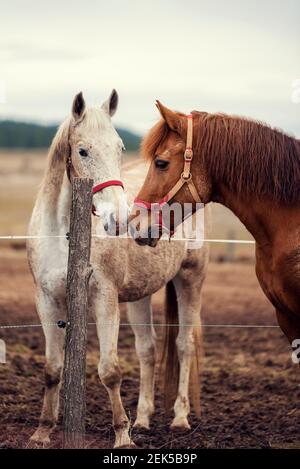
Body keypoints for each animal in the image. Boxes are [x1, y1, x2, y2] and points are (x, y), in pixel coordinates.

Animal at [27, 90, 211, 446]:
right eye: (83, 150)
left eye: (120, 148)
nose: (121, 219)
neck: (62, 232)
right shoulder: (46, 300)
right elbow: (52, 369)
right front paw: (42, 430)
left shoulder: (104, 298)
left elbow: (109, 371)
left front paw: (122, 436)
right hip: (140, 295)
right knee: (147, 350)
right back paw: (143, 418)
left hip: (190, 279)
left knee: (184, 345)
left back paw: (180, 418)